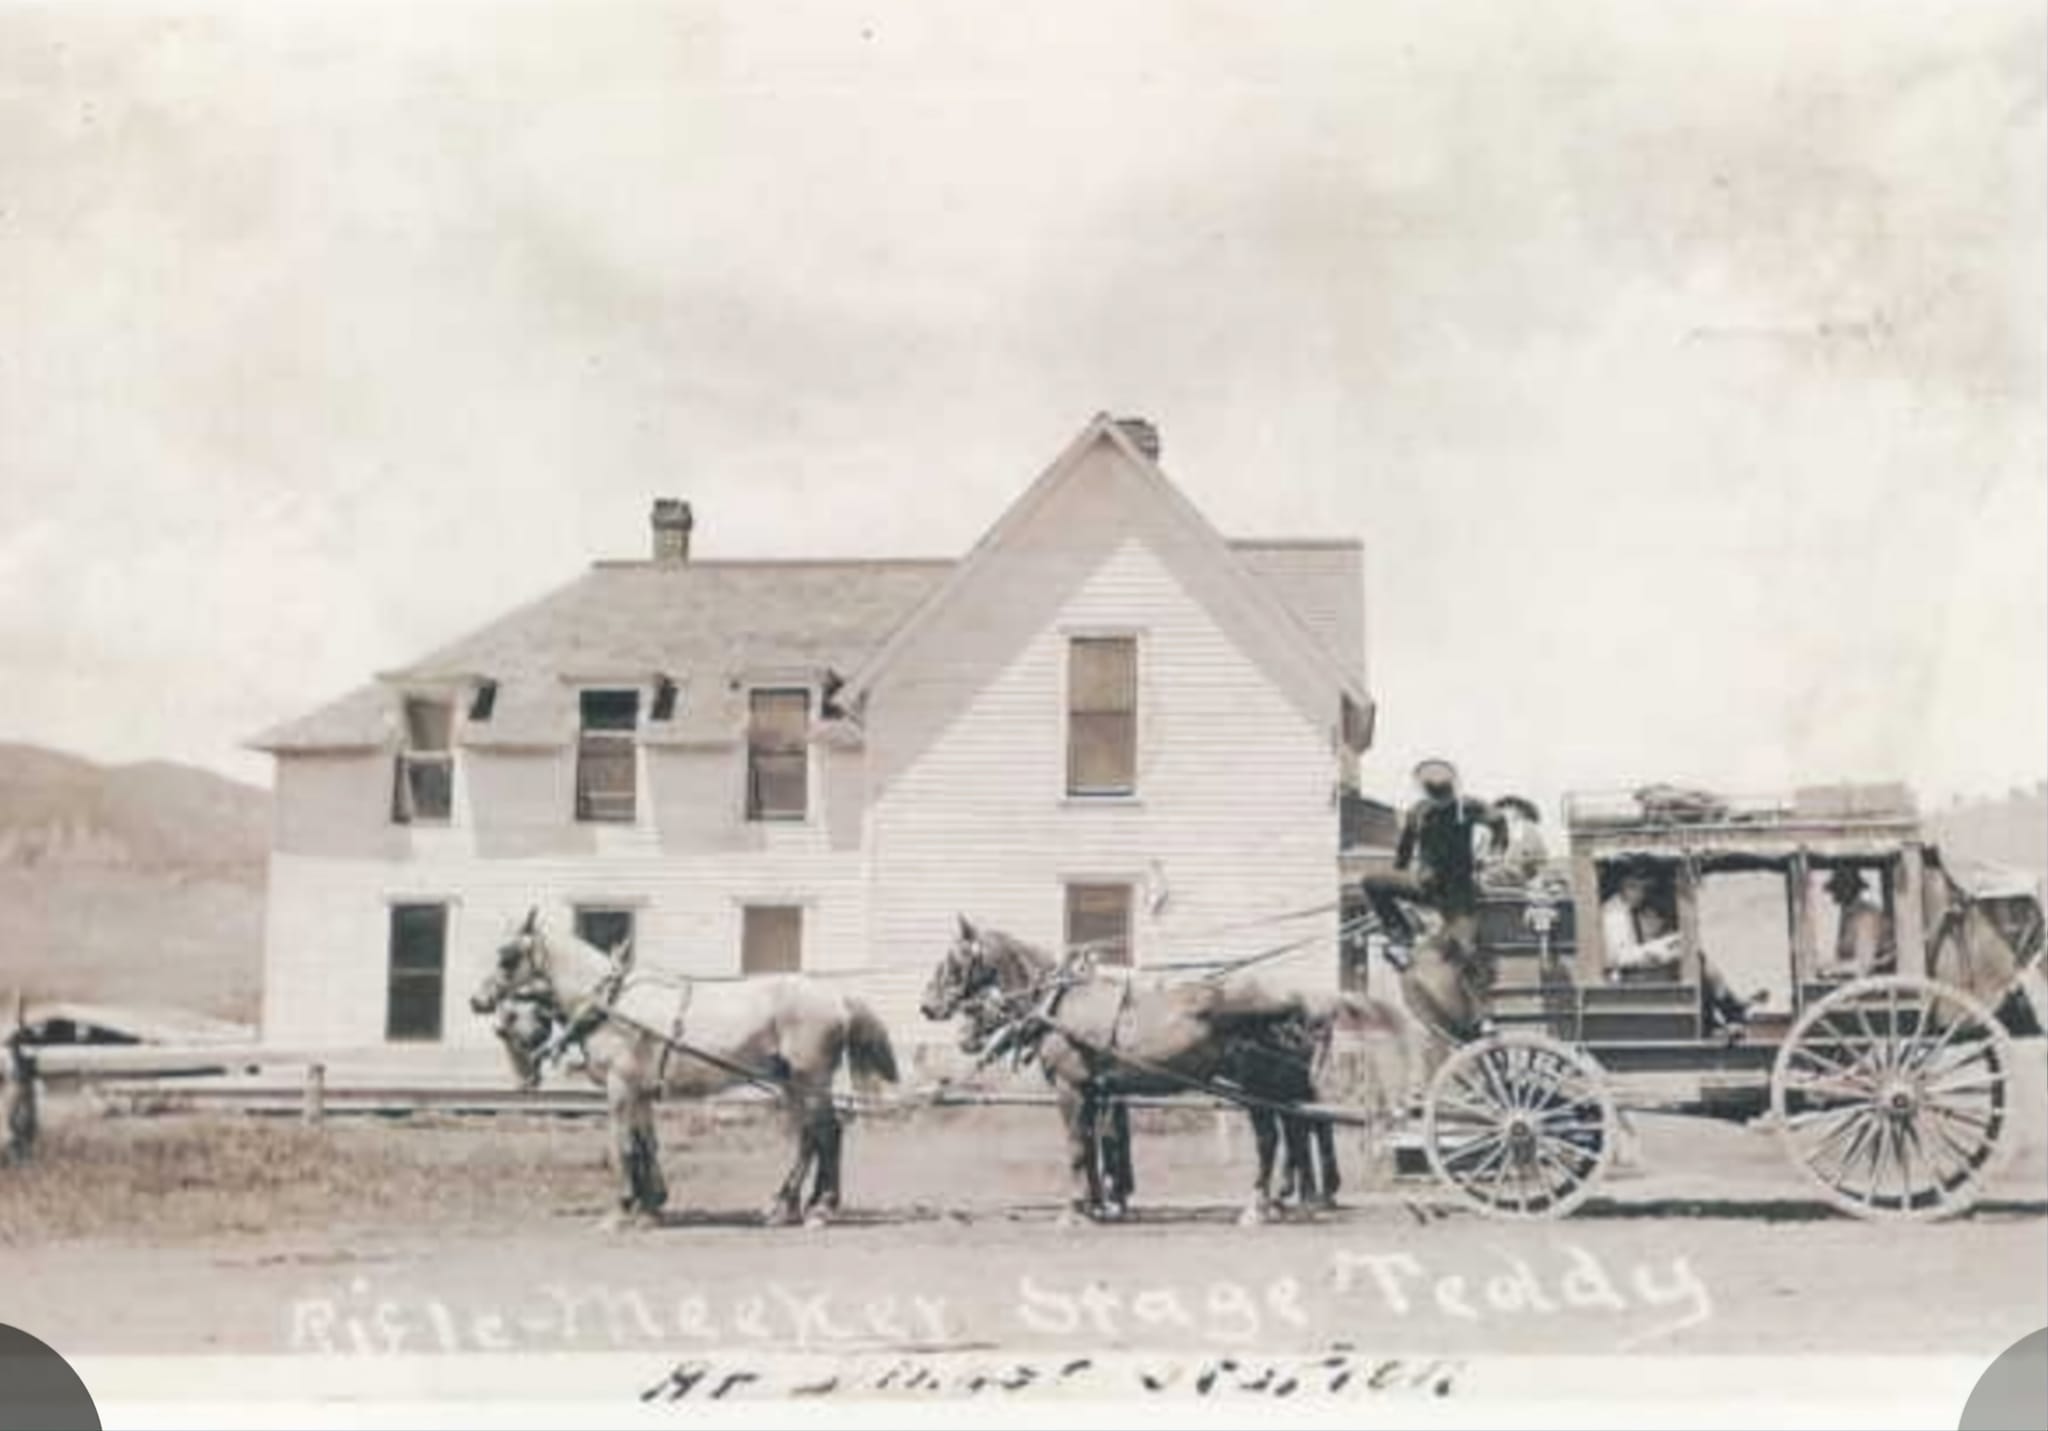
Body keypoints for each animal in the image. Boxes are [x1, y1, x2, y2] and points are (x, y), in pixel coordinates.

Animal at [471, 910, 900, 1229]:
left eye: (507, 956)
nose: (477, 1000)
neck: (611, 1005)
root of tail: (836, 996)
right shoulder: (640, 1092)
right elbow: (647, 1144)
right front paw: (651, 1207)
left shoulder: (619, 1088)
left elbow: (624, 1147)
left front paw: (622, 1209)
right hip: (792, 1083)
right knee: (809, 1137)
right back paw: (786, 1206)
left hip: (811, 1078)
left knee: (826, 1133)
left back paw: (820, 1209)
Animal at [921, 916, 1404, 1221]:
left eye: (954, 959)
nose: (927, 1006)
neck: (1060, 1002)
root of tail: (1297, 999)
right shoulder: (1096, 1091)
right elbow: (1095, 1148)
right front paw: (1098, 1203)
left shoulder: (1072, 1088)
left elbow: (1078, 1147)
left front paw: (1076, 1208)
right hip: (1274, 1083)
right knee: (1297, 1128)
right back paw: (1290, 1198)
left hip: (1260, 1082)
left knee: (1277, 1136)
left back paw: (1265, 1203)